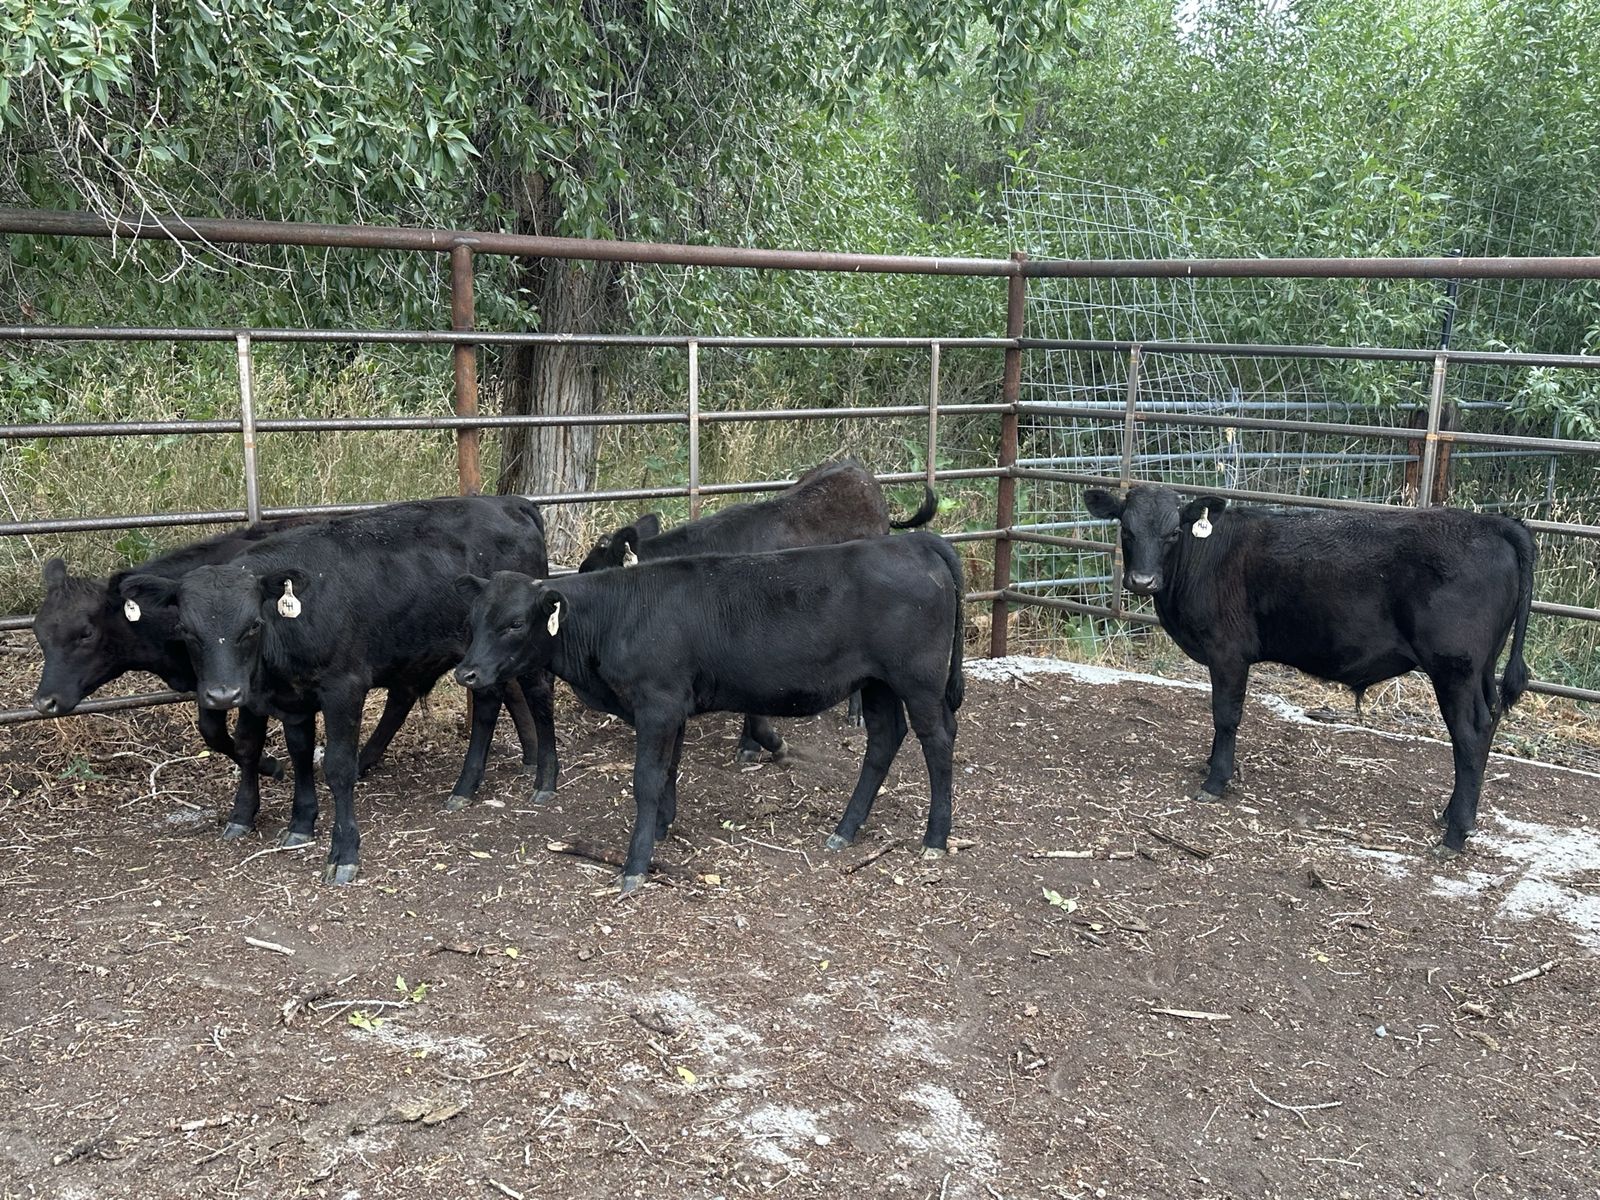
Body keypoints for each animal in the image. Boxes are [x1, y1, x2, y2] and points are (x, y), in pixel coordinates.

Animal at [120, 496, 559, 883]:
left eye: (253, 626)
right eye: (186, 631)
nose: (223, 695)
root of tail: (510, 502)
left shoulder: (343, 688)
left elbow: (337, 765)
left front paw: (344, 853)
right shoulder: (290, 698)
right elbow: (294, 753)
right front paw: (298, 822)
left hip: (522, 648)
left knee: (537, 691)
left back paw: (544, 782)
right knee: (487, 702)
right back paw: (466, 787)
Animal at [453, 530, 966, 894]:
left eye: (515, 622)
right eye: (472, 619)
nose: (467, 673)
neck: (619, 614)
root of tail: (913, 541)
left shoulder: (657, 703)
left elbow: (645, 780)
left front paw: (636, 864)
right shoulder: (673, 706)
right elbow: (668, 770)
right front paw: (663, 827)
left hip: (917, 681)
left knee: (938, 742)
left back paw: (935, 839)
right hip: (878, 683)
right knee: (884, 739)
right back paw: (845, 828)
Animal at [1084, 484, 1535, 857]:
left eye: (1173, 533)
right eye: (1126, 530)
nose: (1143, 581)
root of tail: (1493, 522)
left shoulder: (1228, 652)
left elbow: (1225, 715)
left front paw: (1216, 781)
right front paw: (1210, 766)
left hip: (1454, 668)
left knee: (1470, 735)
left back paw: (1454, 835)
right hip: (1480, 670)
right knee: (1489, 722)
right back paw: (1456, 816)